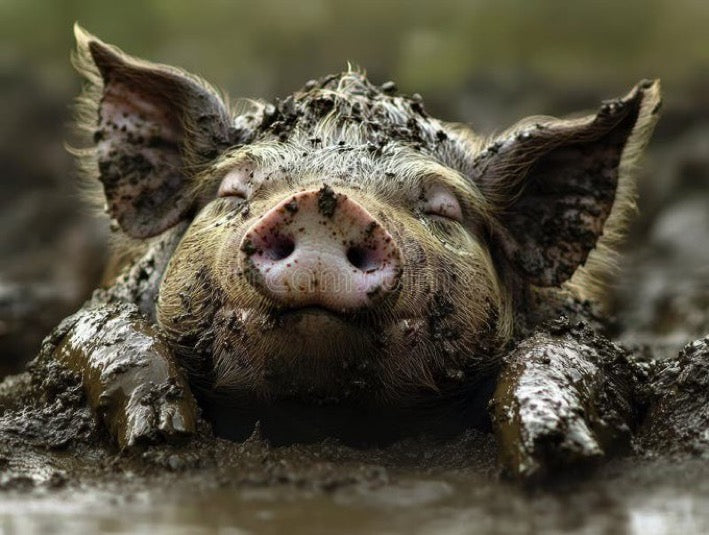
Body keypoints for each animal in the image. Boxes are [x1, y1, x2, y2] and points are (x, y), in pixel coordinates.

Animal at [34, 25, 667, 480]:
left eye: (443, 210)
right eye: (234, 190)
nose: (324, 202)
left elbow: (558, 355)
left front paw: (552, 452)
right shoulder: (84, 322)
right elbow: (112, 335)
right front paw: (163, 436)